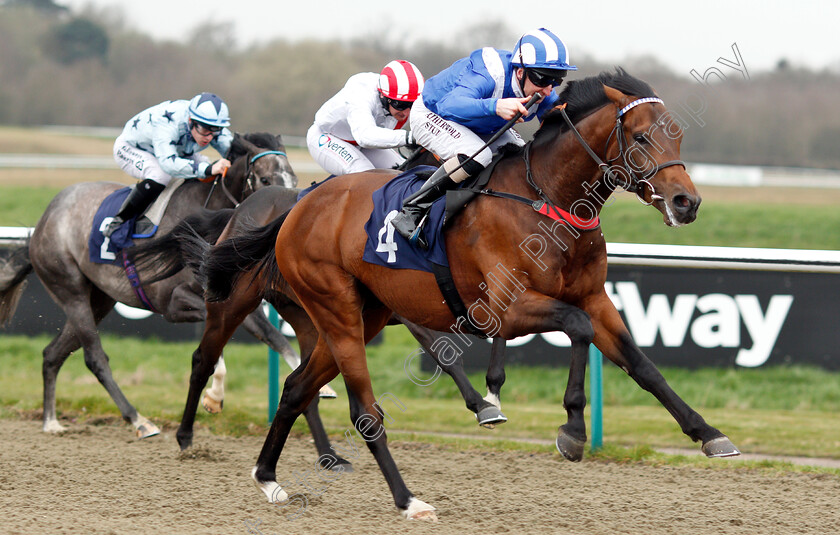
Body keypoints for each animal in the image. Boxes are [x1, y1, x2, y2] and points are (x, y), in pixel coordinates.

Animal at [0, 132, 300, 438]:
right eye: (265, 179)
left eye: (294, 179)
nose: (290, 224)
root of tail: (43, 221)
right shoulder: (175, 303)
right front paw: (214, 398)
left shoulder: (234, 302)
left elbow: (277, 339)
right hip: (71, 290)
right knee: (95, 358)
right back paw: (138, 420)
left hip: (99, 300)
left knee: (52, 353)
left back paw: (50, 420)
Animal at [203, 69, 740, 520]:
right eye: (642, 136)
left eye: (679, 135)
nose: (686, 202)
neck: (546, 197)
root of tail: (297, 207)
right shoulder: (501, 310)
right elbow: (577, 327)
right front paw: (571, 428)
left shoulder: (595, 298)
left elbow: (641, 364)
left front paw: (709, 434)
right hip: (335, 311)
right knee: (364, 412)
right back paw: (409, 500)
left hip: (359, 316)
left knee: (296, 388)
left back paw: (269, 479)